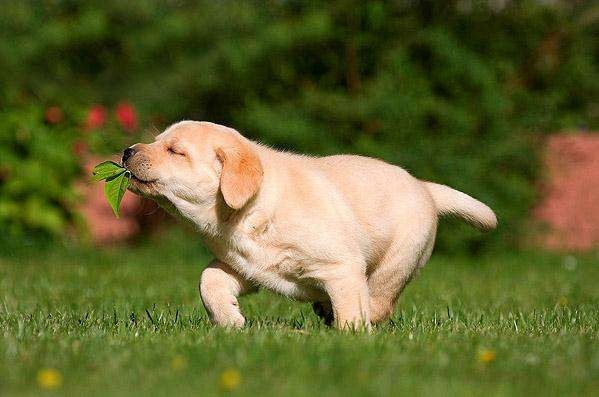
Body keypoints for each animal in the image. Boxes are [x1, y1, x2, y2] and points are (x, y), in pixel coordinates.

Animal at [123, 120, 496, 328]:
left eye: (175, 151)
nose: (127, 151)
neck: (252, 211)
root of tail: (424, 187)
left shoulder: (342, 266)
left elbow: (351, 309)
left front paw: (352, 338)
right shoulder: (246, 266)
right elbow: (208, 280)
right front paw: (230, 321)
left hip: (401, 255)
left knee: (380, 296)